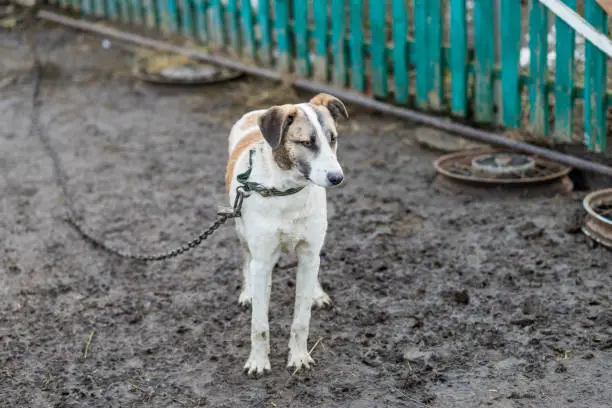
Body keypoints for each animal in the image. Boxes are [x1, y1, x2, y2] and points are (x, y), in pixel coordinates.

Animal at [225, 93, 350, 376]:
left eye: (333, 138)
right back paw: (249, 292)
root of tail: (257, 112)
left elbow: (301, 319)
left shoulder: (308, 252)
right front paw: (258, 361)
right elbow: (259, 325)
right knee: (246, 260)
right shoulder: (262, 260)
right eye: (306, 142)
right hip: (241, 229)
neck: (286, 191)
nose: (337, 178)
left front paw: (299, 357)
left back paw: (316, 293)